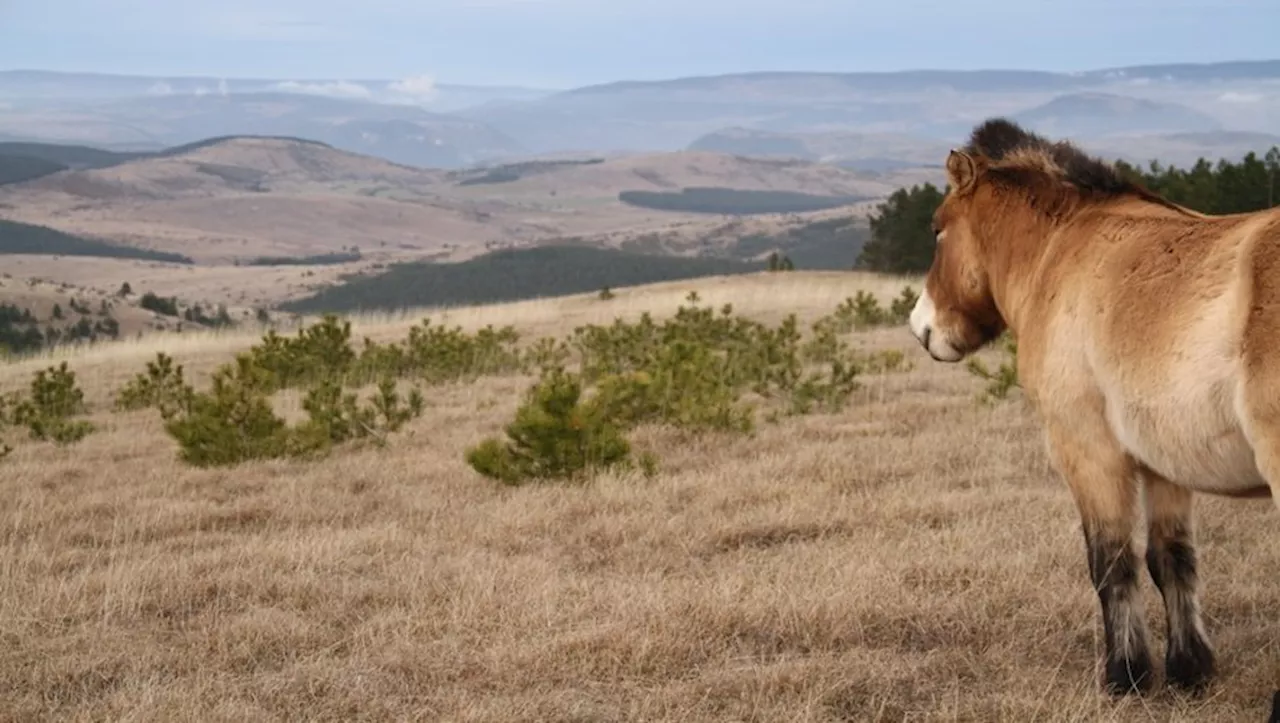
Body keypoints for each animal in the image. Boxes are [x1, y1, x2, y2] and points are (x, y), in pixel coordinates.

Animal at [906, 117, 1280, 701]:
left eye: (937, 228)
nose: (921, 327)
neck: (1061, 250)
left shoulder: (1087, 452)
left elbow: (1111, 562)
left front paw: (1125, 675)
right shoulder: (1160, 465)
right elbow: (1171, 560)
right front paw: (1188, 670)